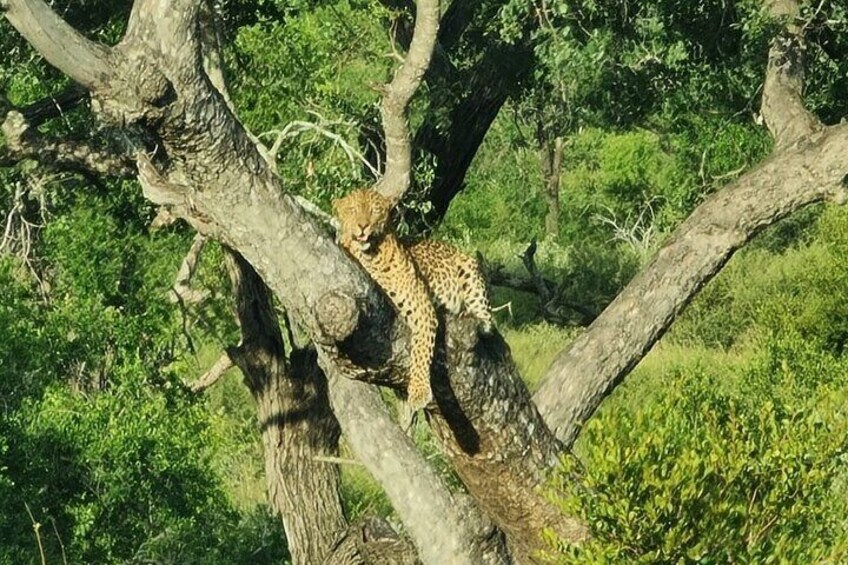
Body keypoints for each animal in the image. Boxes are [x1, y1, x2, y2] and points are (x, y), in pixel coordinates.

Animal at [330, 188, 490, 410]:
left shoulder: (421, 306)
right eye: (352, 210)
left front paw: (419, 392)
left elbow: (421, 350)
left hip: (469, 267)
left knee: (487, 320)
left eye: (374, 211)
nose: (363, 226)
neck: (370, 255)